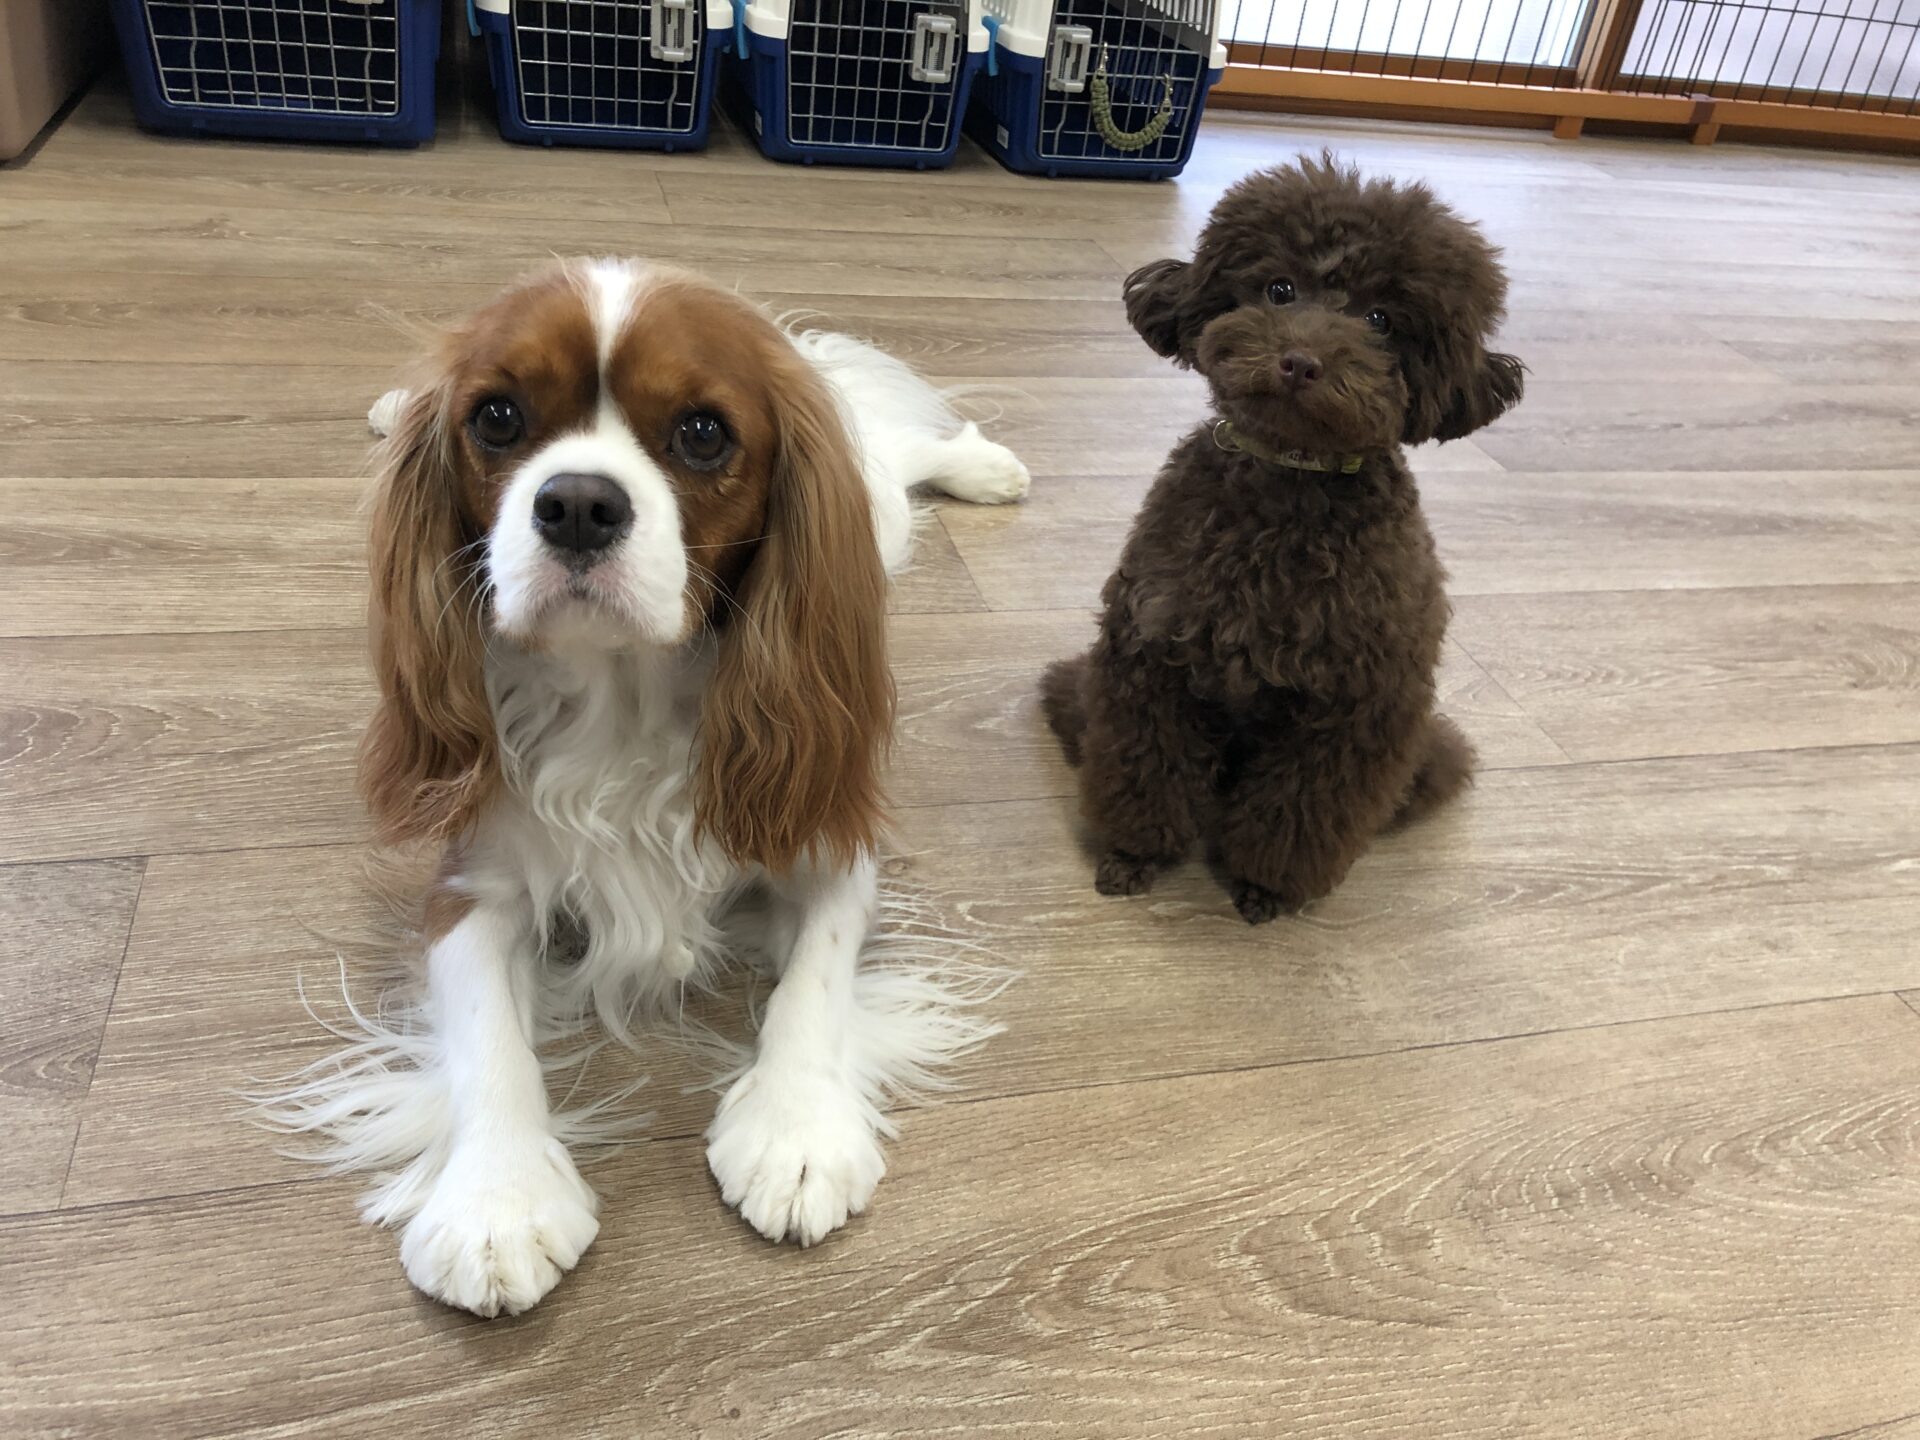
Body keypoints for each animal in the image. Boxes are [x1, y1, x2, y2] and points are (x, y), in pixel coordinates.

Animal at [264, 258, 1030, 1317]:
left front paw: (796, 1129)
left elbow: (816, 977)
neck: (621, 696)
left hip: (870, 487)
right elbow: (486, 1031)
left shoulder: (823, 837)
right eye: (496, 417)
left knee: (902, 443)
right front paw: (497, 1197)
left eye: (703, 433)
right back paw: (387, 406)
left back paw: (987, 466)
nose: (579, 503)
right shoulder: (471, 883)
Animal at [1041, 156, 1522, 924]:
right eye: (1279, 289)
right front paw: (1134, 855)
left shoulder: (1355, 705)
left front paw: (1265, 888)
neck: (1286, 487)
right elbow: (1147, 773)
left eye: (1381, 319)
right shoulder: (1150, 656)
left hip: (1421, 750)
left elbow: (1297, 813)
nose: (1299, 362)